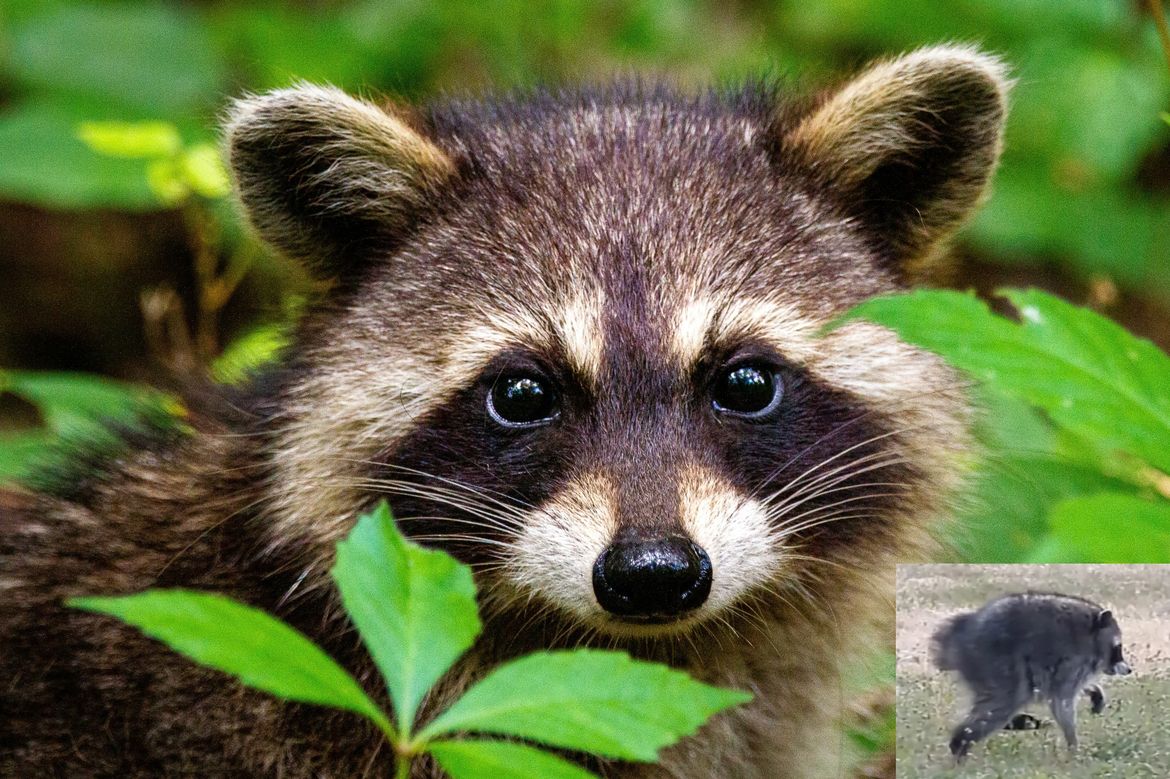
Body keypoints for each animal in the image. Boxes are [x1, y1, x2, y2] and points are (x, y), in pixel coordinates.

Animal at [932, 591, 1132, 761]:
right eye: (1118, 648)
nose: (1129, 670)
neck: (1092, 632)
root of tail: (960, 633)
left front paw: (1093, 689)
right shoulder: (1073, 660)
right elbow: (1062, 701)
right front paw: (1073, 746)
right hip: (994, 661)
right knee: (1004, 702)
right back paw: (960, 744)